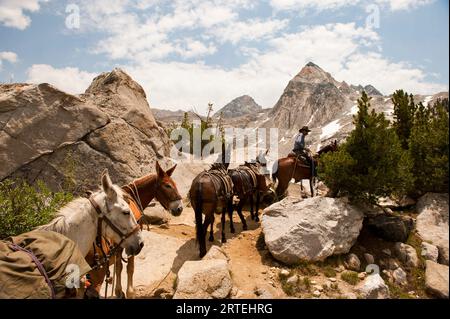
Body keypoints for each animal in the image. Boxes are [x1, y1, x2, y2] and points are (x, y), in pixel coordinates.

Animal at [85, 162, 182, 300]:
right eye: (167, 185)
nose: (179, 209)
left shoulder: (121, 244)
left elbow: (119, 267)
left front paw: (119, 292)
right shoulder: (129, 243)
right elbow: (129, 267)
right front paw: (129, 292)